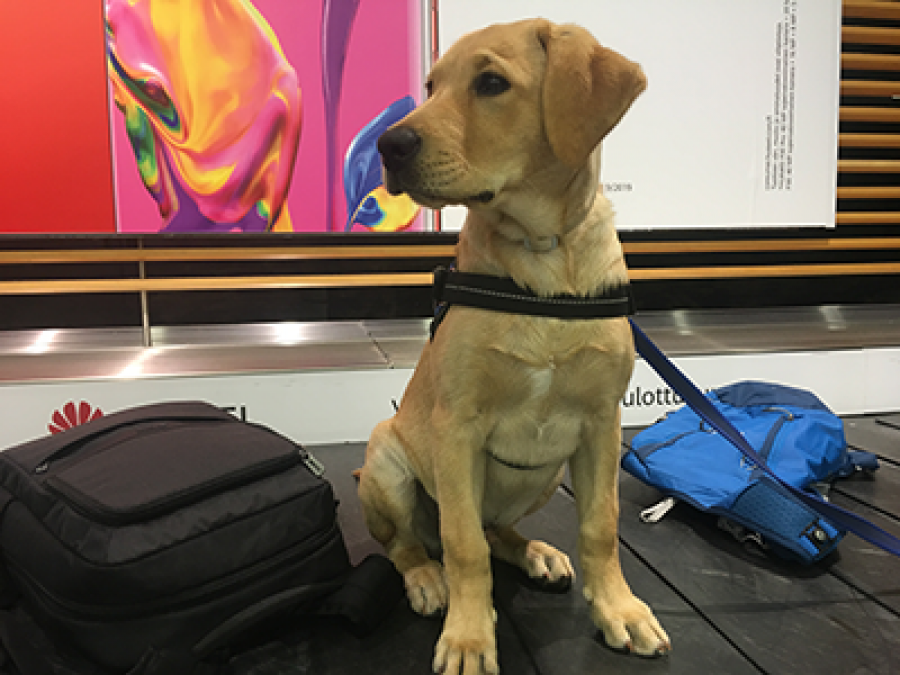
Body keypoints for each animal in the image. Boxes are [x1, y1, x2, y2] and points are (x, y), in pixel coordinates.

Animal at [356, 18, 668, 672]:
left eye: (491, 83)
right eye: (431, 85)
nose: (389, 145)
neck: (545, 255)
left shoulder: (602, 423)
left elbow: (601, 524)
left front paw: (620, 610)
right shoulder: (456, 426)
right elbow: (463, 543)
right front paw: (469, 637)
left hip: (544, 475)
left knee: (496, 530)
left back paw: (534, 553)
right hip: (386, 463)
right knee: (412, 543)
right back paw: (427, 579)